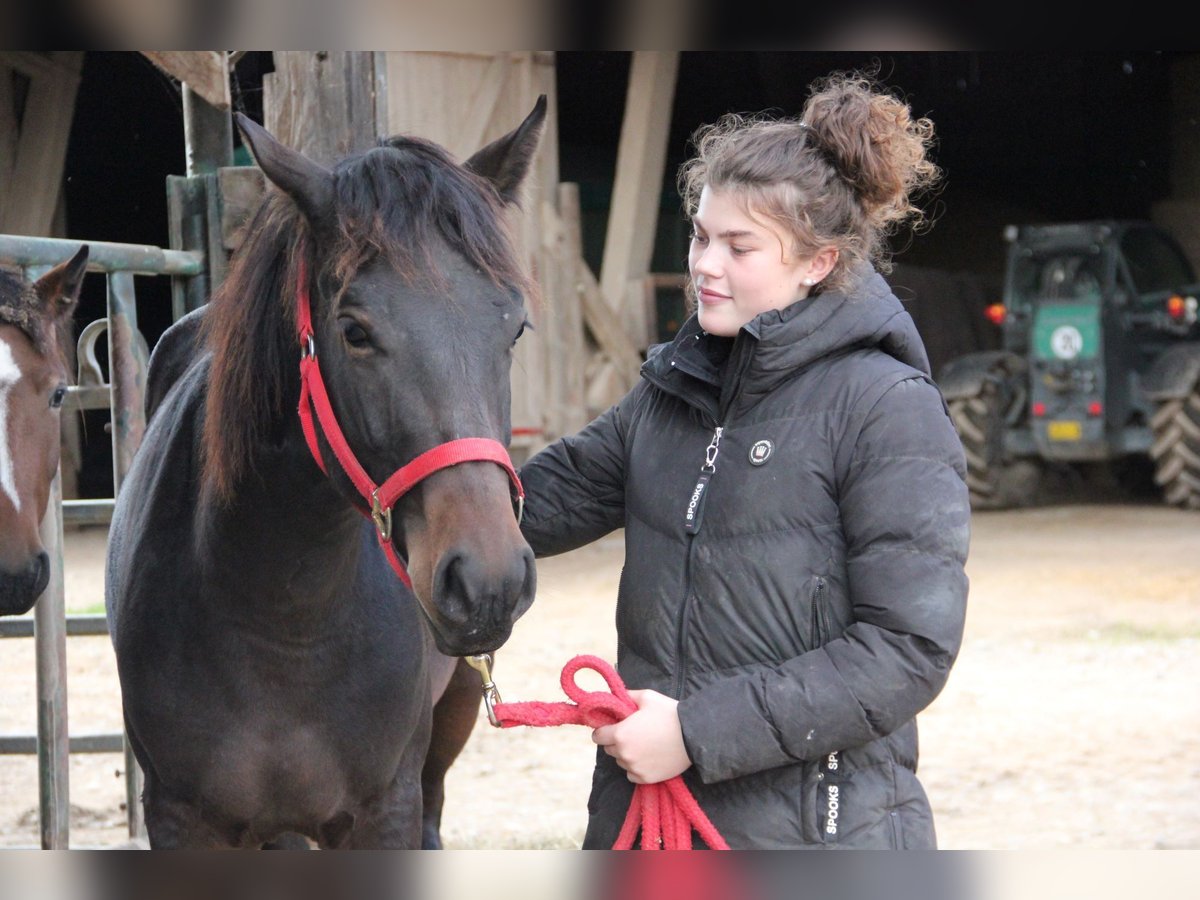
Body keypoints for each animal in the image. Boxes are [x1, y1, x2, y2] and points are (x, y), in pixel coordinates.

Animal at [105, 102, 547, 849]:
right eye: (355, 331)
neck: (285, 624)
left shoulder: (386, 809)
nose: (488, 579)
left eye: (513, 329)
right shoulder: (182, 817)